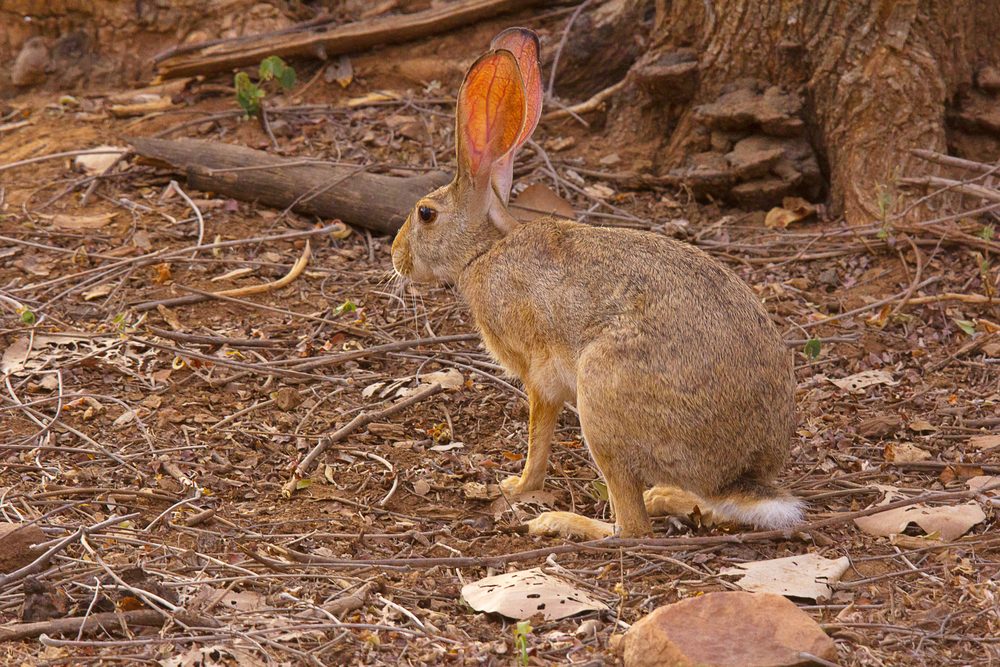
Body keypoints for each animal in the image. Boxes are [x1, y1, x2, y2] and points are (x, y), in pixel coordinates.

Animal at [391, 27, 803, 539]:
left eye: (425, 214)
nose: (396, 256)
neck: (484, 251)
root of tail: (740, 472)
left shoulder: (538, 376)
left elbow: (538, 437)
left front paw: (515, 486)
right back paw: (665, 497)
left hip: (601, 399)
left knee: (632, 527)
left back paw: (562, 521)